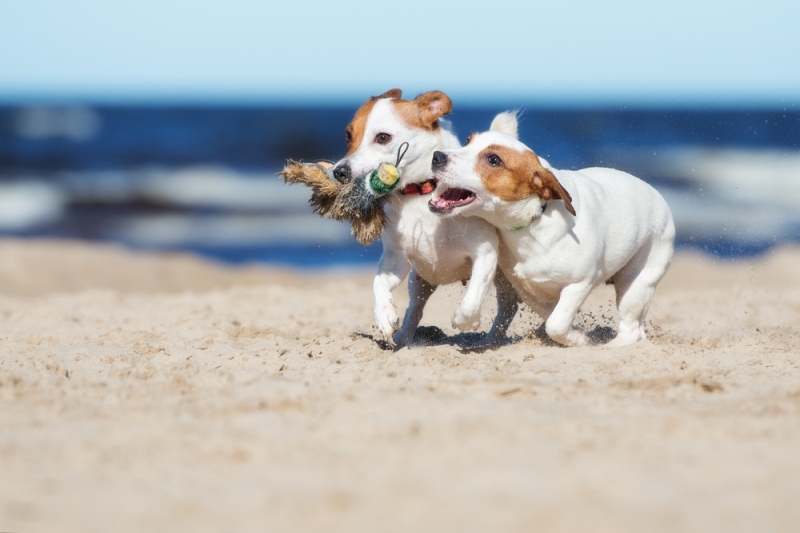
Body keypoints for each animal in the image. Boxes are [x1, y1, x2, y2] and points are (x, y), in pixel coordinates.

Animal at [332, 89, 520, 348]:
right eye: (348, 135)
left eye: (383, 137)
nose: (339, 172)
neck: (420, 194)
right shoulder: (396, 258)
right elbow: (378, 283)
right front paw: (385, 316)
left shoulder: (485, 251)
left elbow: (475, 293)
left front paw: (466, 320)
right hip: (419, 280)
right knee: (415, 309)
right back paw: (403, 339)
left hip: (505, 278)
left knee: (507, 306)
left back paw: (489, 341)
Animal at [428, 114, 672, 348]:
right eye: (467, 141)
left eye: (494, 160)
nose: (437, 156)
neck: (533, 222)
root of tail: (658, 195)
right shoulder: (526, 289)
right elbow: (549, 315)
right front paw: (574, 334)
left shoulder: (580, 283)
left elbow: (556, 323)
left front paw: (578, 339)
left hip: (636, 283)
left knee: (631, 328)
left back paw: (612, 345)